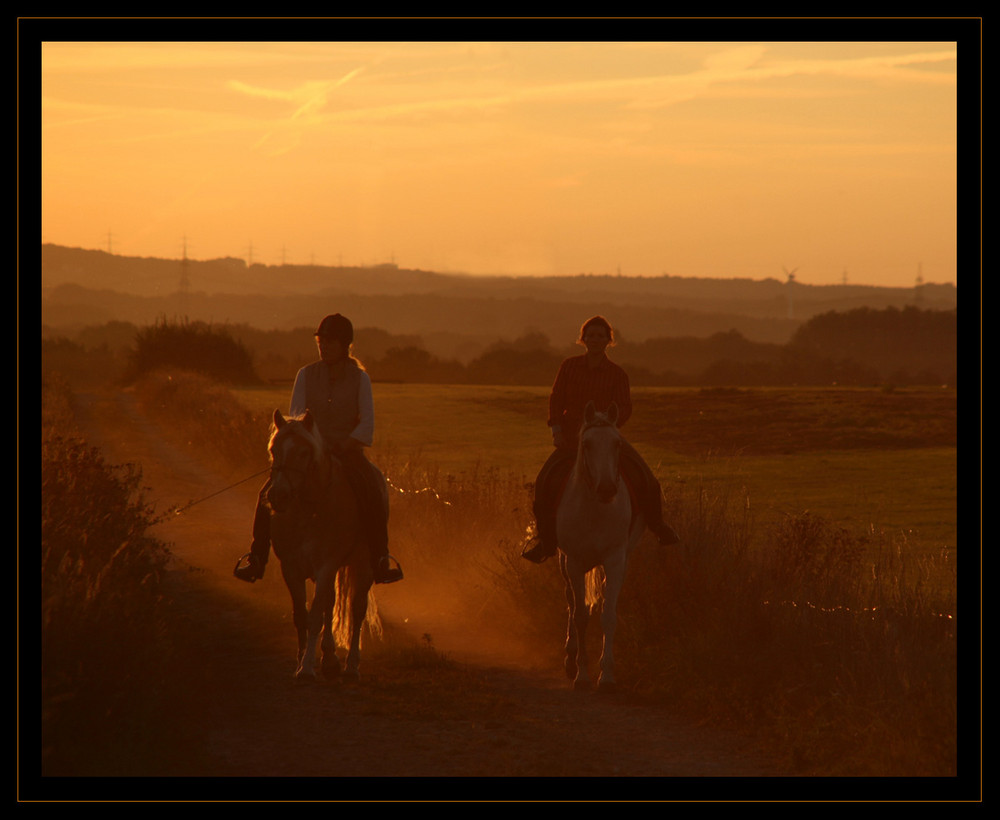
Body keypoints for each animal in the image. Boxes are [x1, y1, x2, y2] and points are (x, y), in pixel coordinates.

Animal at [266, 406, 378, 684]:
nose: (278, 496)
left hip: (363, 566)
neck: (310, 508)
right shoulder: (291, 568)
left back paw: (351, 666)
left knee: (357, 609)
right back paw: (330, 660)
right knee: (331, 603)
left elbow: (316, 616)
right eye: (274, 450)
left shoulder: (326, 566)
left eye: (304, 452)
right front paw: (300, 661)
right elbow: (302, 616)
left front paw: (306, 668)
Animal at [560, 400, 644, 688]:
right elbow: (581, 616)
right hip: (564, 562)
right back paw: (569, 657)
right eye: (586, 444)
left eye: (617, 443)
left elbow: (608, 615)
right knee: (571, 602)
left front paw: (606, 675)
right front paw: (582, 674)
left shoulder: (615, 560)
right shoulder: (574, 561)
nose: (607, 489)